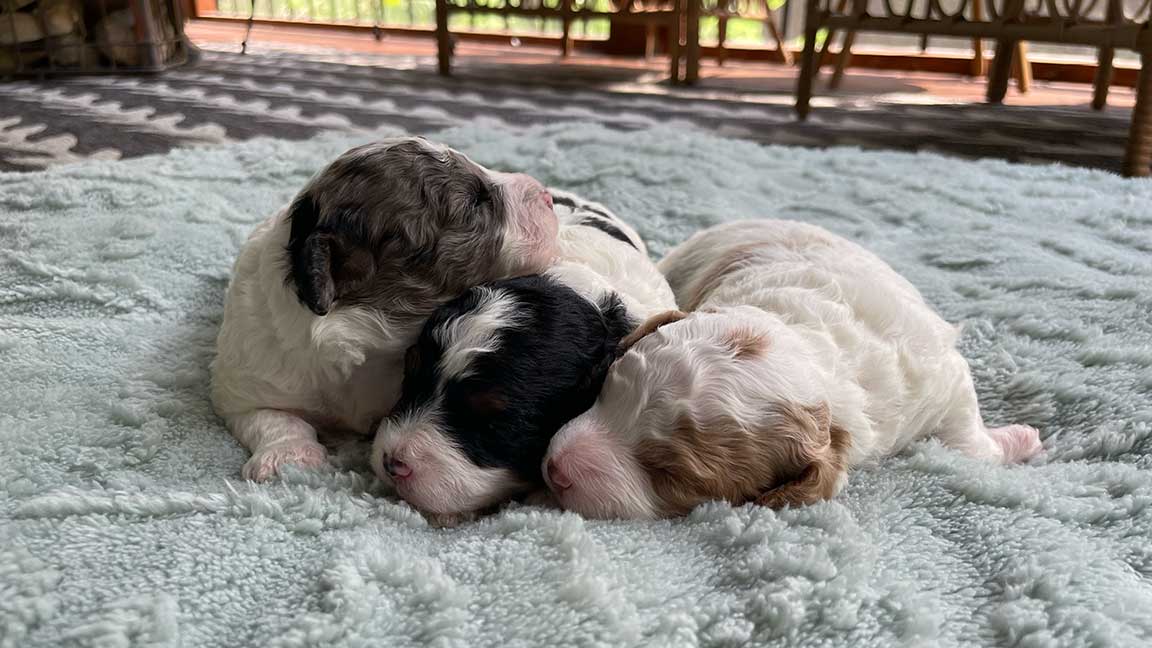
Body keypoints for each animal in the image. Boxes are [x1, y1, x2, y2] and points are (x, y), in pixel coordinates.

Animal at [541, 219, 1046, 516]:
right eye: (606, 390)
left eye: (670, 475)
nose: (555, 469)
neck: (811, 348)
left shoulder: (939, 374)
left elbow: (967, 438)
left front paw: (1022, 438)